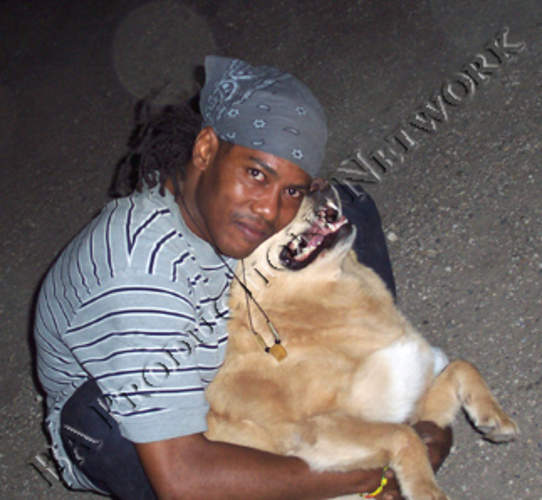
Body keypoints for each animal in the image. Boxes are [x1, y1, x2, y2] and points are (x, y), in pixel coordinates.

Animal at [205, 184, 519, 500]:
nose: (321, 184)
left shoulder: (413, 407)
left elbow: (462, 366)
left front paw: (495, 417)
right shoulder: (318, 431)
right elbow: (403, 435)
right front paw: (426, 490)